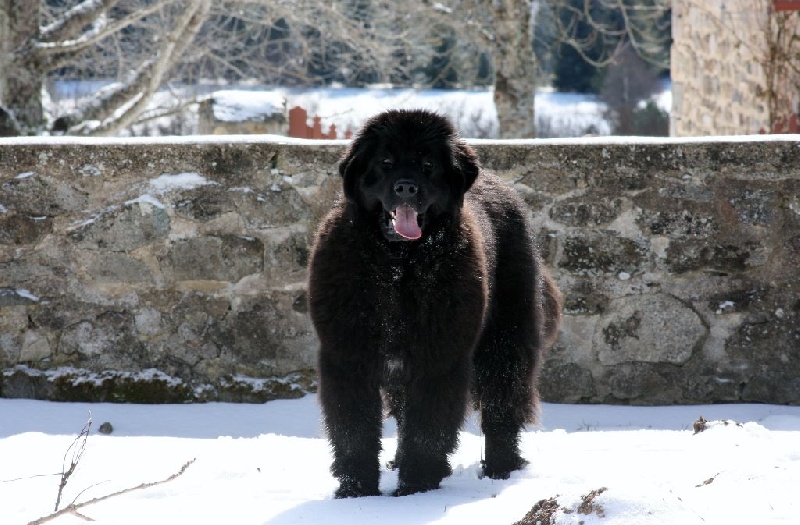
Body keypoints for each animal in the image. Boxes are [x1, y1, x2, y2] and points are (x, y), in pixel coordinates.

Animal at [306, 109, 564, 496]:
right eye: (385, 162)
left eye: (427, 165)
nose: (406, 187)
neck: (399, 266)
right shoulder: (349, 354)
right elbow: (354, 428)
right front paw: (356, 491)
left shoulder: (438, 355)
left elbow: (427, 427)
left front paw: (416, 488)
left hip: (507, 337)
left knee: (503, 405)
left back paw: (501, 468)